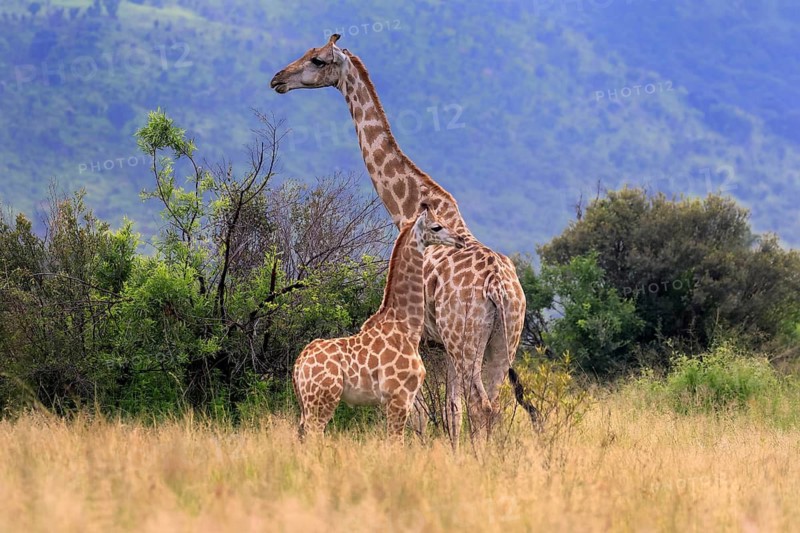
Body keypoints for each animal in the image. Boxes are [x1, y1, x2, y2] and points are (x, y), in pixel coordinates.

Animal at [293, 206, 465, 439]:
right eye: (436, 226)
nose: (460, 240)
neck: (407, 327)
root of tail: (299, 363)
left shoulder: (401, 399)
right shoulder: (399, 397)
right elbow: (396, 441)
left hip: (307, 404)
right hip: (321, 400)